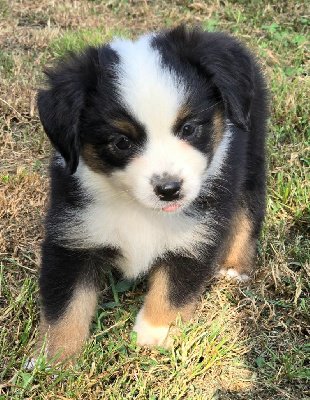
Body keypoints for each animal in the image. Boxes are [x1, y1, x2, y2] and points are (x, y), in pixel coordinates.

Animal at [37, 25, 268, 362]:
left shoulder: (196, 234)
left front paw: (153, 335)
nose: (169, 190)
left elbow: (175, 288)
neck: (138, 208)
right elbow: (65, 305)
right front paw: (52, 360)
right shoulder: (73, 235)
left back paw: (234, 266)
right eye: (121, 142)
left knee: (249, 207)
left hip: (251, 152)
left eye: (188, 129)